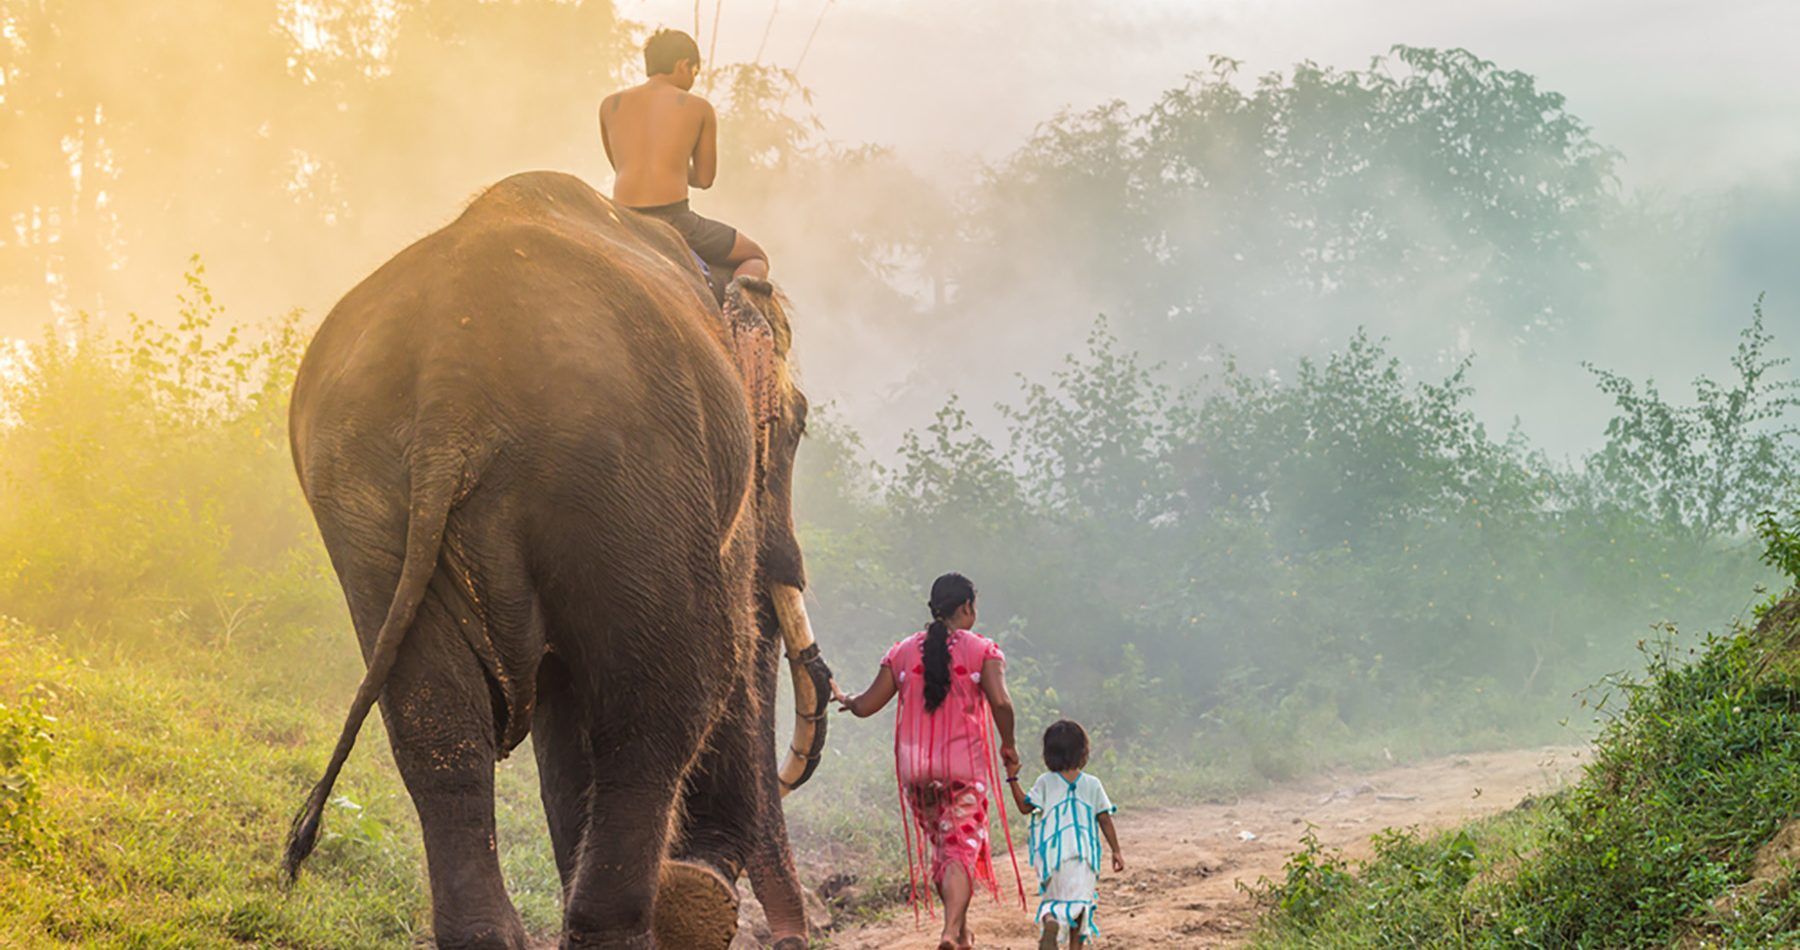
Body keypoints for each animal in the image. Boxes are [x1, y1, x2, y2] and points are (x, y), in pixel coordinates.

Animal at [282, 170, 833, 950]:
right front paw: (701, 889)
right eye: (799, 422)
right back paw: (669, 905)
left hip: (361, 492)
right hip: (625, 463)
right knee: (662, 702)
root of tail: (452, 368)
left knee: (438, 728)